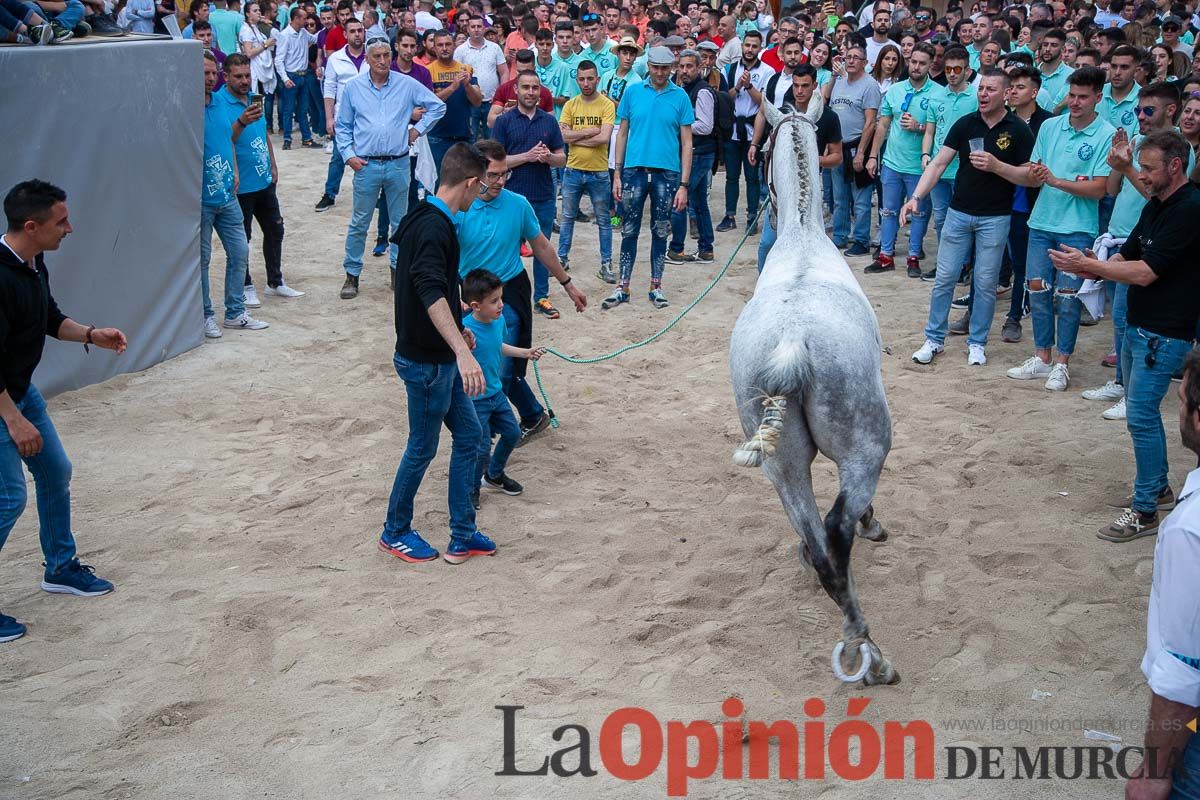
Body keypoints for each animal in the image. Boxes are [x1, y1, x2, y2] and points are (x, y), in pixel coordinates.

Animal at [724, 97, 897, 686]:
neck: (803, 238)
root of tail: (793, 342)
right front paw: (874, 524)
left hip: (784, 466)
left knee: (819, 542)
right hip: (867, 448)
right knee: (837, 527)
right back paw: (871, 653)